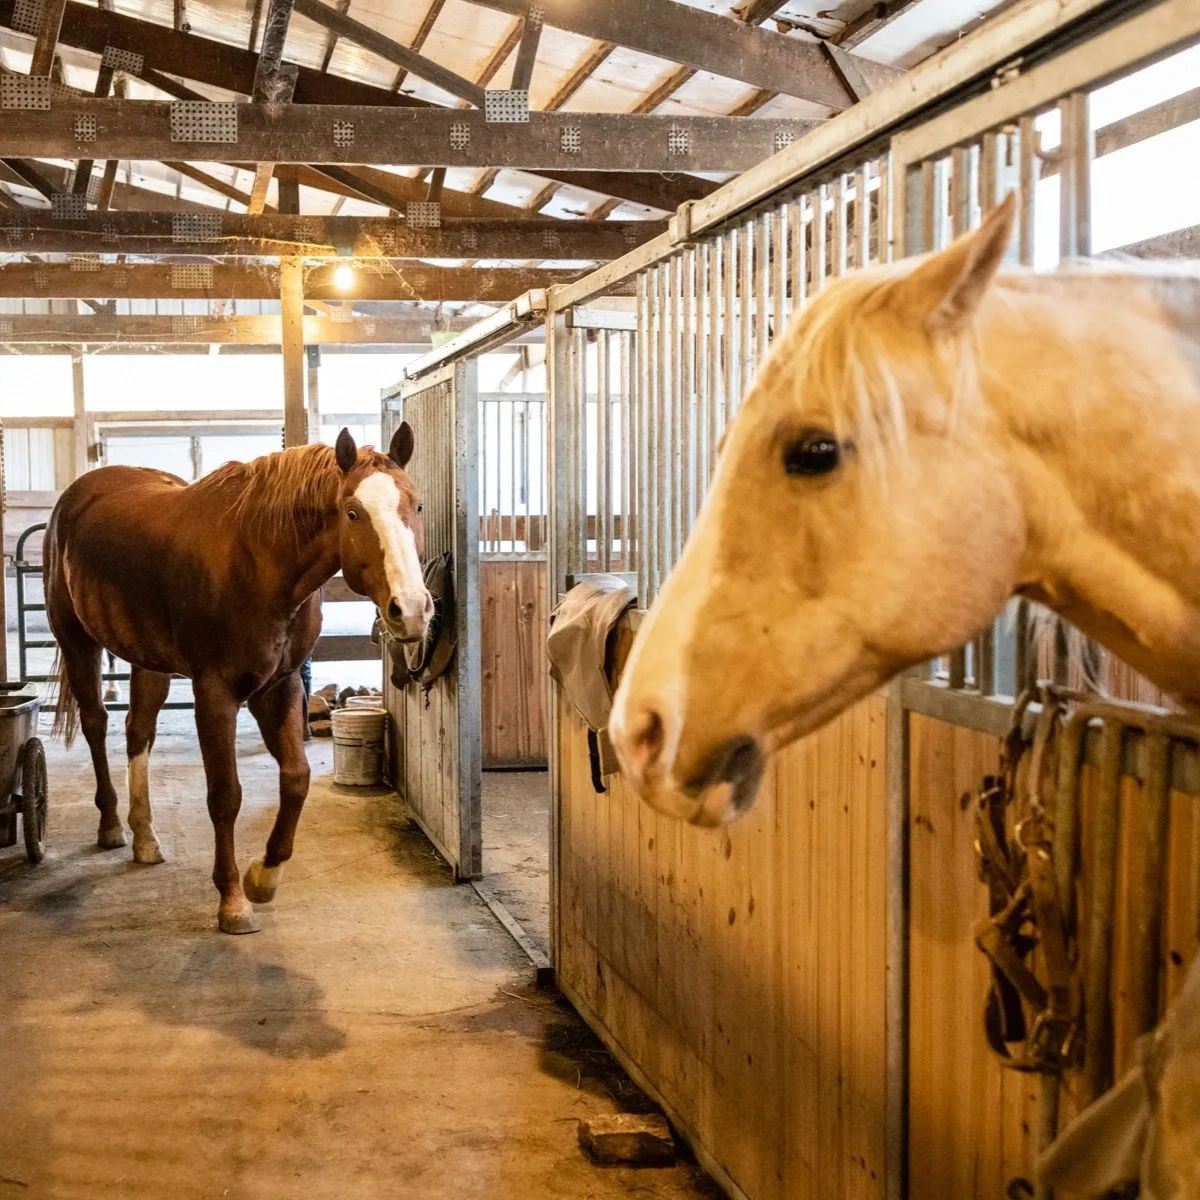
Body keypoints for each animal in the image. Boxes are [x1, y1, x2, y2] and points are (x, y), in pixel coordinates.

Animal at [46, 425, 431, 934]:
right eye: (352, 512)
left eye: (417, 505)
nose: (412, 610)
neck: (259, 562)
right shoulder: (215, 693)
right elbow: (225, 795)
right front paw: (232, 899)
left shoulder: (281, 686)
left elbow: (296, 779)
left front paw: (263, 877)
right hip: (78, 645)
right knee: (94, 724)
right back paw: (110, 825)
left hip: (149, 661)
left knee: (138, 731)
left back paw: (145, 837)